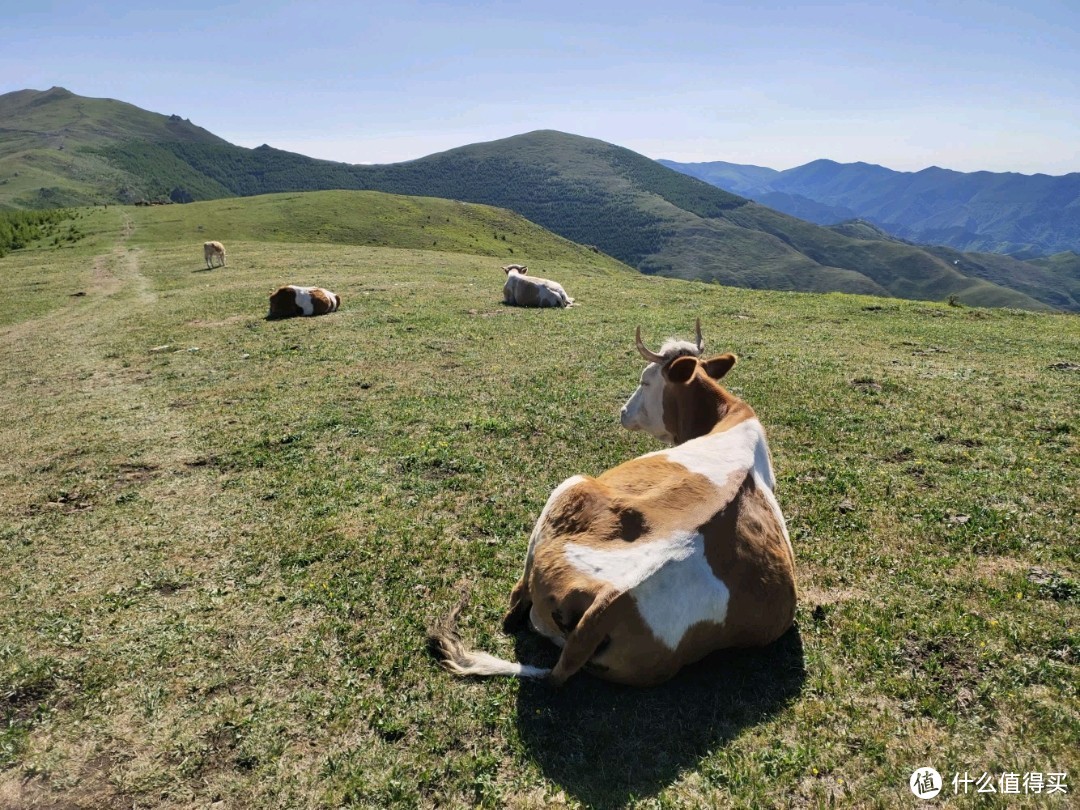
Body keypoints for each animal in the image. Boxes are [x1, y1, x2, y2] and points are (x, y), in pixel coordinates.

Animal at [427, 319, 794, 686]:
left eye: (645, 380)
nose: (623, 412)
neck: (729, 416)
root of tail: (609, 601)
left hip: (570, 485)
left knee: (517, 603)